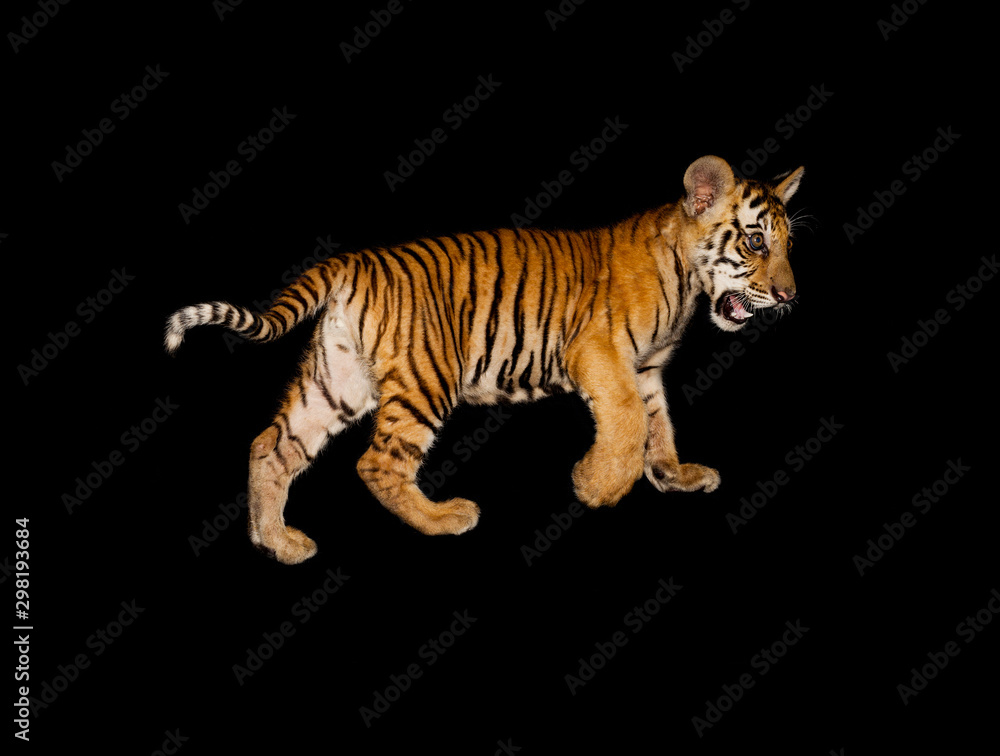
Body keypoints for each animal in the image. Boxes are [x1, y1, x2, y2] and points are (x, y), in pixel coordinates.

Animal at [165, 155, 804, 564]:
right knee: (378, 463)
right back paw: (446, 518)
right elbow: (626, 426)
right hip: (425, 379)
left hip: (337, 381)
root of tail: (354, 261)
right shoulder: (600, 353)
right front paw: (594, 487)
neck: (687, 278)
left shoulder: (646, 370)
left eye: (789, 245)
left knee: (271, 447)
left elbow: (657, 426)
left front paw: (675, 476)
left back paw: (278, 543)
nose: (790, 296)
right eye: (755, 242)